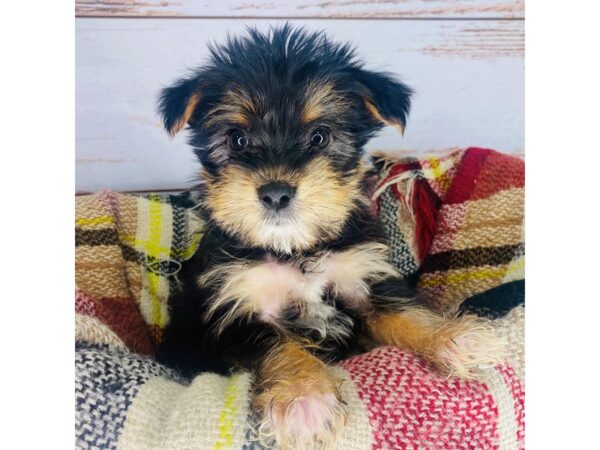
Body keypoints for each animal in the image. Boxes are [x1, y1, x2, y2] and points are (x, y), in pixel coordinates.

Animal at [156, 25, 502, 450]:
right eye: (237, 139)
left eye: (319, 137)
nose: (276, 192)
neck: (295, 249)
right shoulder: (233, 310)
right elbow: (275, 343)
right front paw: (307, 398)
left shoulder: (362, 278)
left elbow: (403, 312)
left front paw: (453, 337)